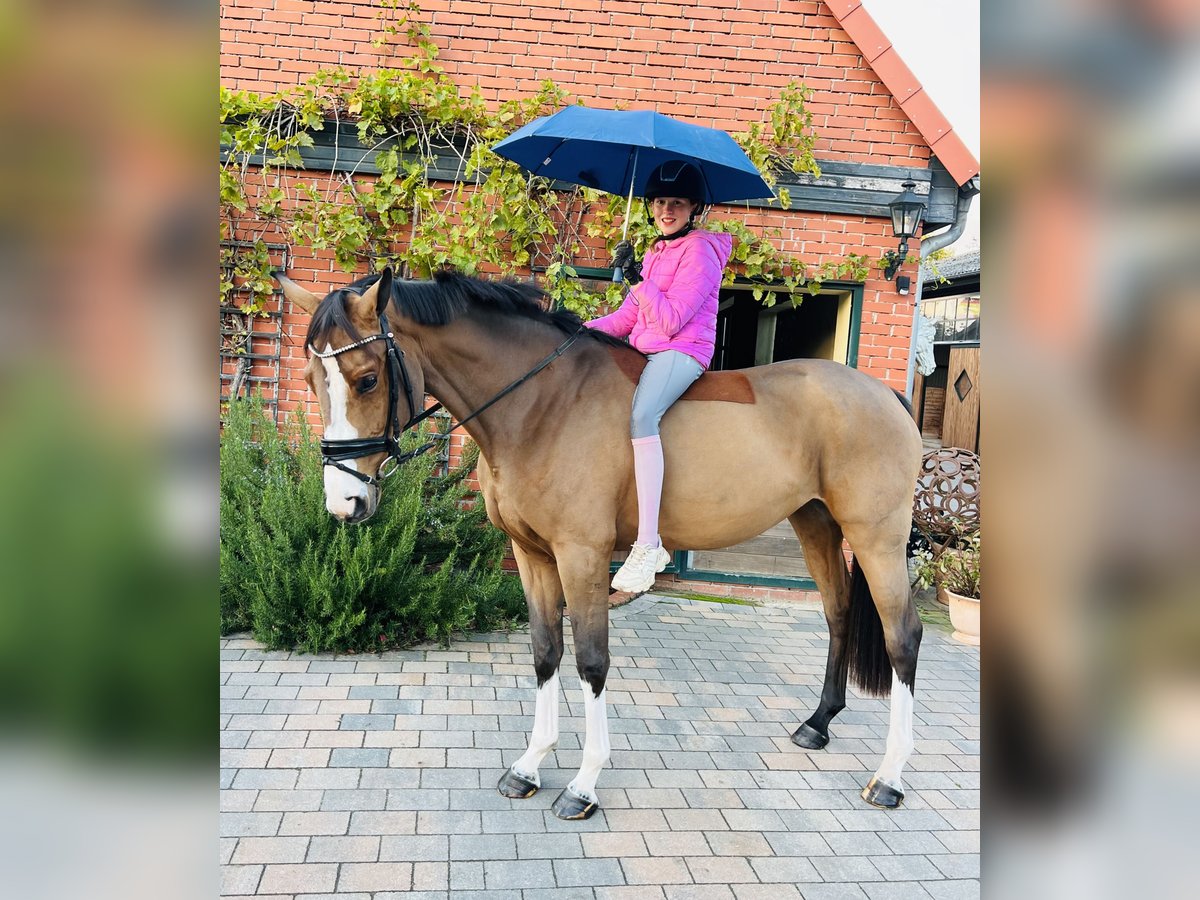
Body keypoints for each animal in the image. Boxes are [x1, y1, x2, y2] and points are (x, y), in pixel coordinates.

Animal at [277, 267, 924, 819]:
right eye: (310, 381)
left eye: (367, 379)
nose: (344, 503)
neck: (541, 405)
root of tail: (883, 394)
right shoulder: (532, 555)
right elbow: (545, 652)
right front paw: (529, 766)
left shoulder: (581, 554)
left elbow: (591, 660)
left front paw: (583, 784)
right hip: (815, 523)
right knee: (839, 612)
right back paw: (818, 724)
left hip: (876, 536)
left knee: (903, 636)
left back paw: (890, 778)